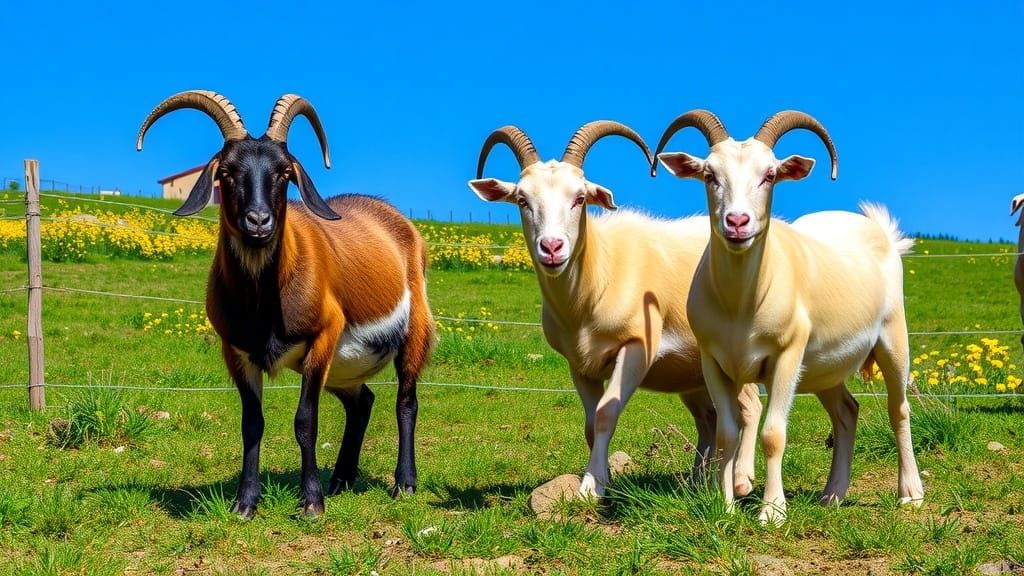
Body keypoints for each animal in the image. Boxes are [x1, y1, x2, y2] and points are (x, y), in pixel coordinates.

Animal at [137, 90, 434, 518]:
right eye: (226, 172)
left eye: (284, 172)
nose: (258, 221)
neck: (264, 304)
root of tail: (395, 217)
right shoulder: (236, 350)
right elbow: (252, 423)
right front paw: (245, 503)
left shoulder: (324, 335)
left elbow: (305, 421)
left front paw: (311, 501)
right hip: (344, 366)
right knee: (362, 402)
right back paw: (341, 480)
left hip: (413, 329)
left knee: (406, 401)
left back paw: (403, 484)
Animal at [469, 122, 762, 498]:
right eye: (522, 199)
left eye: (580, 198)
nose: (552, 248)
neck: (600, 275)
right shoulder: (579, 363)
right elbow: (590, 423)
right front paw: (601, 478)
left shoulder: (636, 347)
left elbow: (606, 414)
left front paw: (590, 488)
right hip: (691, 372)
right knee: (708, 418)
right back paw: (700, 481)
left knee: (750, 406)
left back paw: (740, 479)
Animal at [654, 110, 924, 525]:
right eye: (710, 175)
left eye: (769, 175)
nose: (737, 222)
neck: (741, 305)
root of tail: (882, 232)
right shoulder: (712, 361)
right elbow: (728, 433)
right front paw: (726, 506)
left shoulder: (787, 355)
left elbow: (773, 433)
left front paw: (772, 511)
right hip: (825, 366)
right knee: (847, 412)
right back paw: (833, 494)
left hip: (893, 336)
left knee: (899, 409)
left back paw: (910, 492)